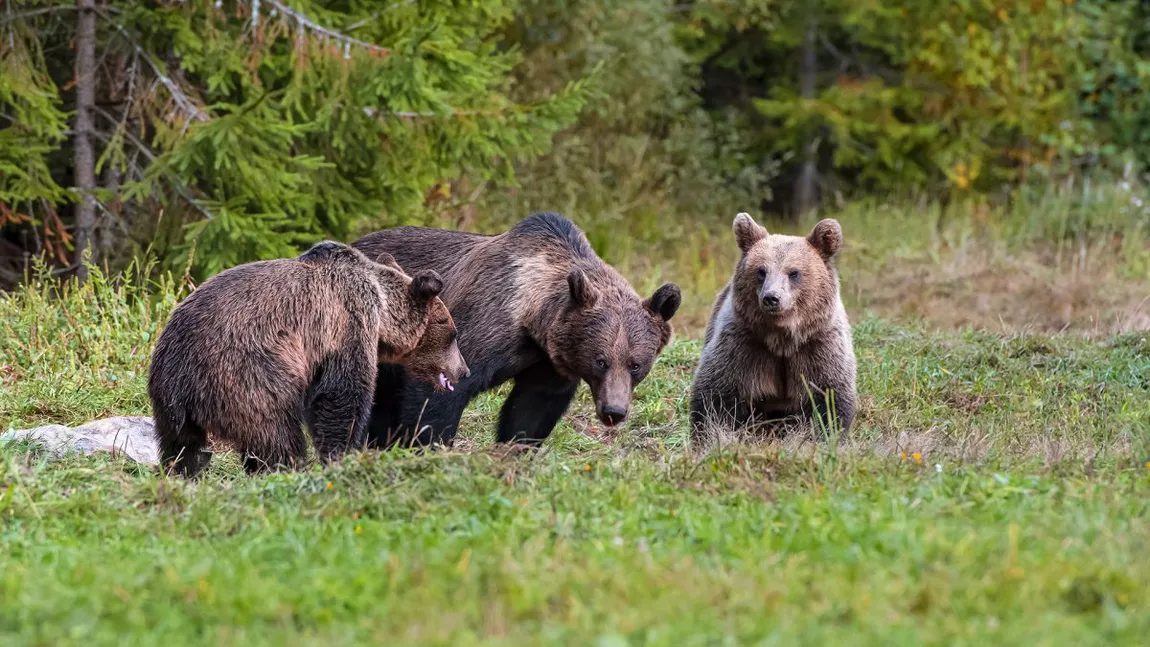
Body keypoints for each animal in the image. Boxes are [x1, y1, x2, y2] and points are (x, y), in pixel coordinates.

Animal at [150, 240, 469, 478]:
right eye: (453, 333)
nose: (464, 371)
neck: (382, 310)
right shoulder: (346, 322)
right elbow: (342, 393)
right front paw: (343, 453)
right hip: (246, 373)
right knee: (274, 428)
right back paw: (285, 466)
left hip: (168, 397)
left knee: (181, 445)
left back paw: (185, 471)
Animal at [345, 212, 676, 450]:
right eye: (601, 360)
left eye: (636, 365)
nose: (614, 410)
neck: (531, 319)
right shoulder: (474, 328)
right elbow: (438, 394)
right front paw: (426, 445)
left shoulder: (548, 362)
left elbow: (531, 409)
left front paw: (516, 447)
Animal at [690, 212, 855, 445]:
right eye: (761, 271)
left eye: (793, 272)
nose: (771, 298)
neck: (781, 338)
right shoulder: (742, 345)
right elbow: (716, 393)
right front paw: (712, 435)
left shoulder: (818, 345)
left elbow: (829, 393)